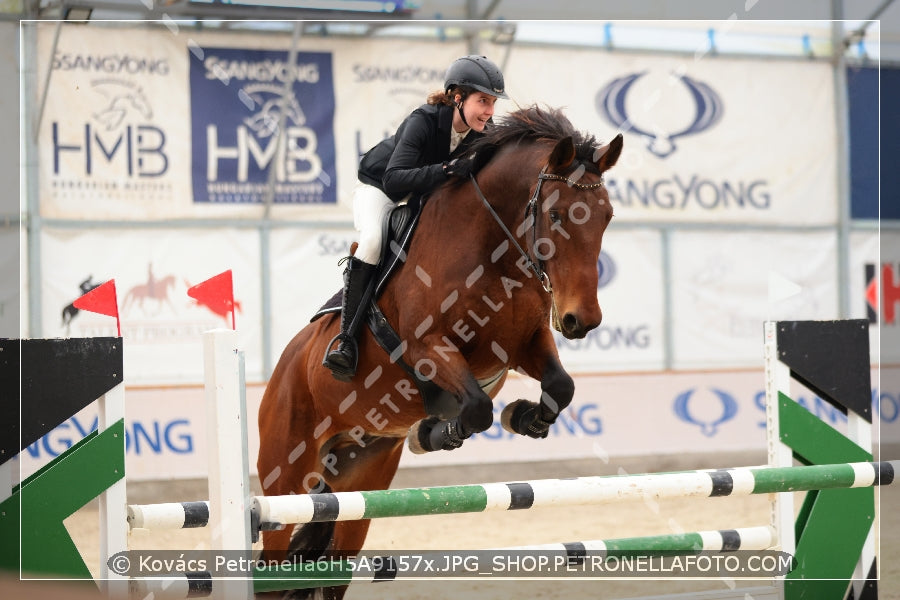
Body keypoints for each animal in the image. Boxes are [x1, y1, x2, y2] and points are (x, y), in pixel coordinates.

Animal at [256, 105, 624, 596]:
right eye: (560, 215)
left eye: (606, 216)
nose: (582, 321)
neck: (495, 252)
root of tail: (281, 372)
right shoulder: (428, 347)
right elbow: (477, 408)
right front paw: (437, 432)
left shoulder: (525, 343)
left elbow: (560, 386)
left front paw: (524, 418)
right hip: (284, 480)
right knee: (271, 562)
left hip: (360, 485)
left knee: (334, 567)